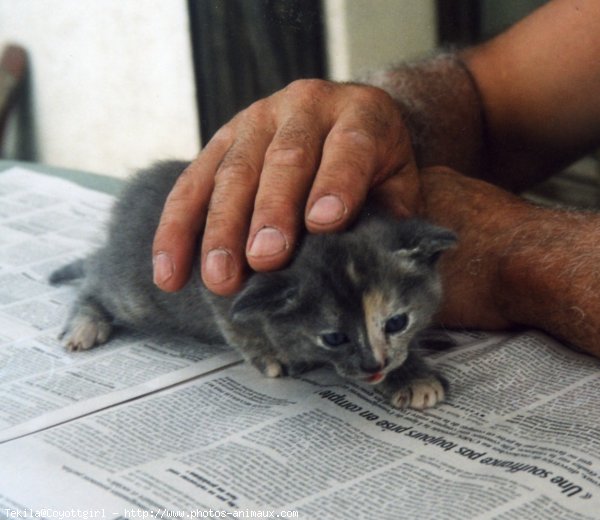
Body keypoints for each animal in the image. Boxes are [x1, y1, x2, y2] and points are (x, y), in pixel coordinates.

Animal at [52, 161, 454, 410]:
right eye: (334, 338)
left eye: (397, 323)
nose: (373, 365)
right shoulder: (216, 274)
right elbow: (238, 327)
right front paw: (272, 356)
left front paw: (410, 373)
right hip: (138, 289)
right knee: (93, 279)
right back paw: (84, 326)